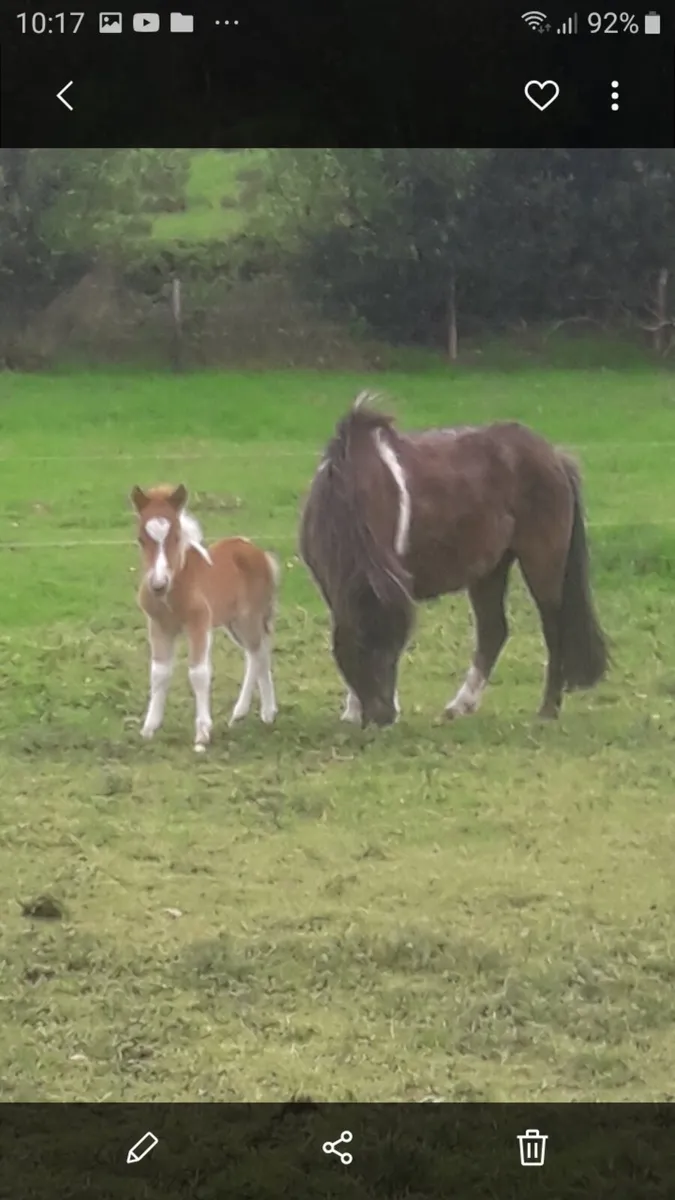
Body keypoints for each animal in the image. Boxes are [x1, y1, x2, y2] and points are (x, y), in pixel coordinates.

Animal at [130, 483, 279, 751]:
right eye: (141, 539)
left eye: (176, 537)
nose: (158, 584)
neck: (175, 587)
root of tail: (256, 551)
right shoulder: (158, 627)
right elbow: (159, 672)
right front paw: (149, 729)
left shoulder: (198, 625)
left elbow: (198, 674)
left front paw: (202, 733)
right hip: (233, 623)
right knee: (256, 653)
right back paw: (251, 714)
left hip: (249, 618)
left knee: (259, 651)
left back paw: (259, 711)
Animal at [299, 392, 608, 728]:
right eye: (361, 647)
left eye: (395, 647)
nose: (385, 717)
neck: (350, 487)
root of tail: (554, 457)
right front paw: (352, 712)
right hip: (489, 570)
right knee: (493, 631)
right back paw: (461, 706)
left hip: (541, 561)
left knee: (553, 629)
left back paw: (548, 709)